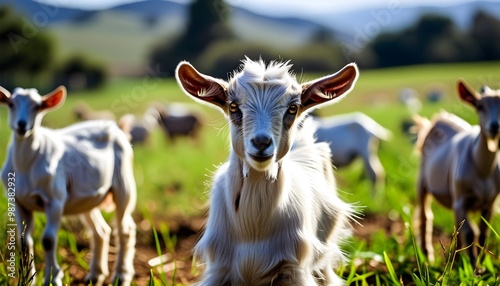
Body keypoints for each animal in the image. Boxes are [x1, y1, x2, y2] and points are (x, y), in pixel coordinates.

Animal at [0, 86, 137, 286]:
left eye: (37, 106)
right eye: (11, 104)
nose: (22, 125)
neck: (26, 164)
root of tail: (115, 126)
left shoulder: (55, 200)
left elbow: (48, 240)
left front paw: (53, 278)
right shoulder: (18, 202)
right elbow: (24, 241)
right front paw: (28, 279)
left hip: (124, 183)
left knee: (125, 229)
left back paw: (121, 275)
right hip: (86, 199)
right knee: (101, 231)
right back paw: (95, 274)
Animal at [176, 58, 360, 286]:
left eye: (292, 108)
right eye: (233, 106)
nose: (261, 142)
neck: (254, 229)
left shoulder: (294, 268)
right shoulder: (219, 267)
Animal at [414, 78, 500, 264]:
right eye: (480, 106)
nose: (495, 126)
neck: (482, 170)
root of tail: (439, 119)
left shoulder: (489, 204)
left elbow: (483, 234)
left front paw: (480, 263)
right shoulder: (461, 200)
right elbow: (471, 232)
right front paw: (475, 266)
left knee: (456, 227)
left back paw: (457, 258)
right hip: (422, 181)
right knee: (425, 215)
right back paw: (427, 254)